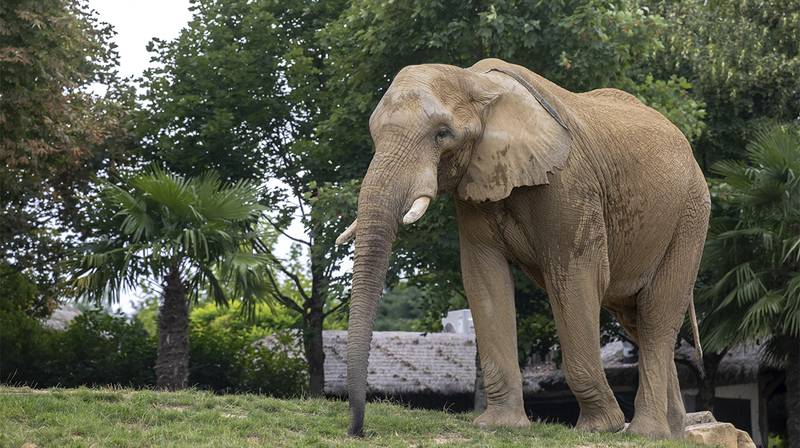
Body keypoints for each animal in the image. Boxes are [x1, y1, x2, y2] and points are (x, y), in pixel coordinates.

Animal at [336, 58, 709, 440]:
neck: (475, 81)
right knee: (636, 319)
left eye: (442, 134)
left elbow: (576, 277)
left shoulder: (569, 182)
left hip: (691, 216)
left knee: (656, 315)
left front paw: (599, 428)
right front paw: (499, 425)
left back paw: (645, 433)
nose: (357, 431)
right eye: (373, 134)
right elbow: (484, 280)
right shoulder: (474, 187)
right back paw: (673, 433)